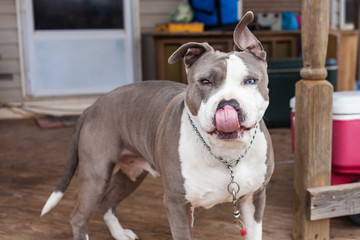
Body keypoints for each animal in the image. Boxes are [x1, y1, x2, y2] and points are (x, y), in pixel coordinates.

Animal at [41, 11, 272, 240]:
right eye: (205, 81)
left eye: (250, 81)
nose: (228, 104)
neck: (227, 157)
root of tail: (92, 106)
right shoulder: (177, 204)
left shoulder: (255, 198)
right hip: (96, 174)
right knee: (78, 216)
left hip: (131, 173)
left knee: (106, 202)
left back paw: (120, 233)